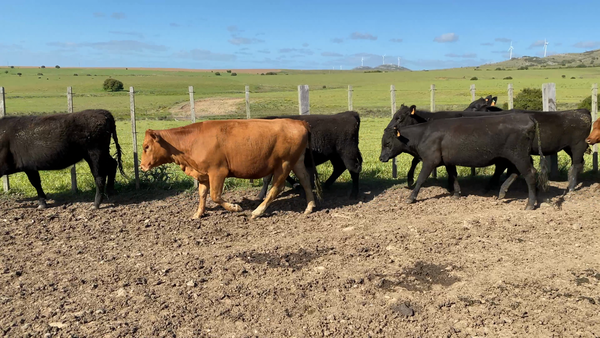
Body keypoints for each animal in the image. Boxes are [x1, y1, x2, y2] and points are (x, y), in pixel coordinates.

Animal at [141, 119, 318, 219]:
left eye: (146, 147)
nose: (142, 166)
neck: (192, 141)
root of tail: (298, 122)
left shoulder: (217, 172)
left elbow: (215, 196)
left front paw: (235, 207)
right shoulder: (203, 174)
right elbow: (202, 195)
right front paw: (198, 214)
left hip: (284, 163)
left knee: (277, 188)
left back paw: (258, 211)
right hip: (296, 161)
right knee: (305, 180)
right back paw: (309, 207)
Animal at [382, 114, 548, 209]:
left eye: (388, 143)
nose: (381, 158)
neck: (424, 134)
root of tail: (528, 118)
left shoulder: (430, 161)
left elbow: (421, 179)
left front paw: (411, 198)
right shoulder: (449, 161)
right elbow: (453, 175)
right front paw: (456, 193)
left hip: (518, 156)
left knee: (529, 174)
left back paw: (530, 204)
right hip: (515, 157)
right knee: (515, 172)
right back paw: (502, 192)